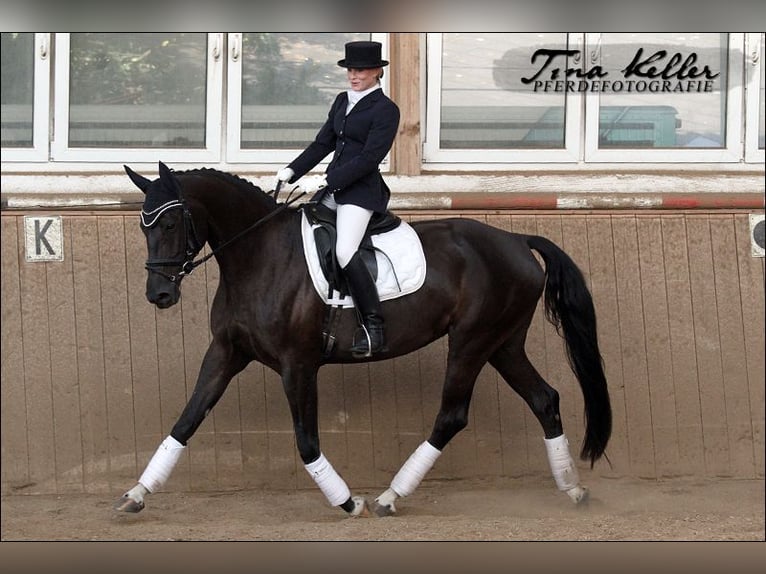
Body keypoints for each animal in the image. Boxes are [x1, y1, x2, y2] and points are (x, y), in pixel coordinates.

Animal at [117, 161, 616, 516]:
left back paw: (391, 497)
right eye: (142, 225)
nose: (159, 294)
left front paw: (347, 502)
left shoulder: (298, 364)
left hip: (472, 341)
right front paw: (137, 494)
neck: (259, 258)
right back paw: (573, 489)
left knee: (452, 415)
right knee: (544, 399)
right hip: (503, 344)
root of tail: (515, 239)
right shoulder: (226, 352)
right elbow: (185, 422)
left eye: (170, 224)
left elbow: (306, 441)